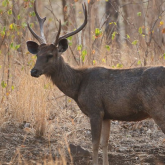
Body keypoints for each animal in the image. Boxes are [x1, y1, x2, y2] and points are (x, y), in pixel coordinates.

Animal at [26, 0, 165, 164]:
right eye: (37, 55)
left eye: (50, 55)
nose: (34, 71)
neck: (78, 87)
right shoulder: (107, 115)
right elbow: (105, 143)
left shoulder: (95, 109)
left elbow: (94, 144)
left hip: (157, 108)